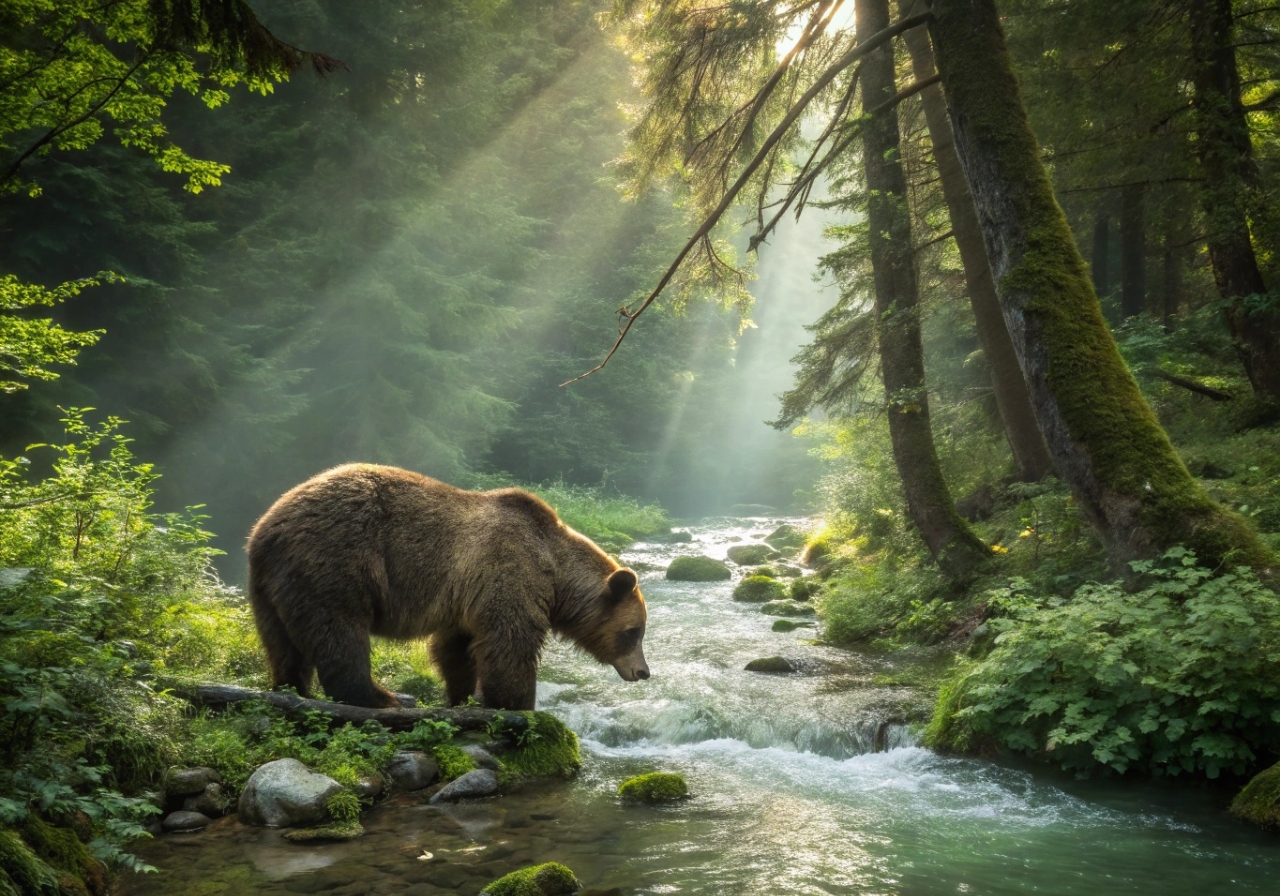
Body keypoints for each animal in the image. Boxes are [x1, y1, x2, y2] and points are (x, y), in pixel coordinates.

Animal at [245, 463, 649, 710]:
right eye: (634, 631)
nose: (643, 672)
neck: (556, 571)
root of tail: (265, 527)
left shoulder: (466, 596)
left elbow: (455, 648)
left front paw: (462, 696)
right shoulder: (509, 568)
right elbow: (510, 640)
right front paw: (517, 703)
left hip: (272, 585)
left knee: (282, 641)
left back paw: (292, 687)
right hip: (335, 558)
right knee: (338, 631)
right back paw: (378, 696)